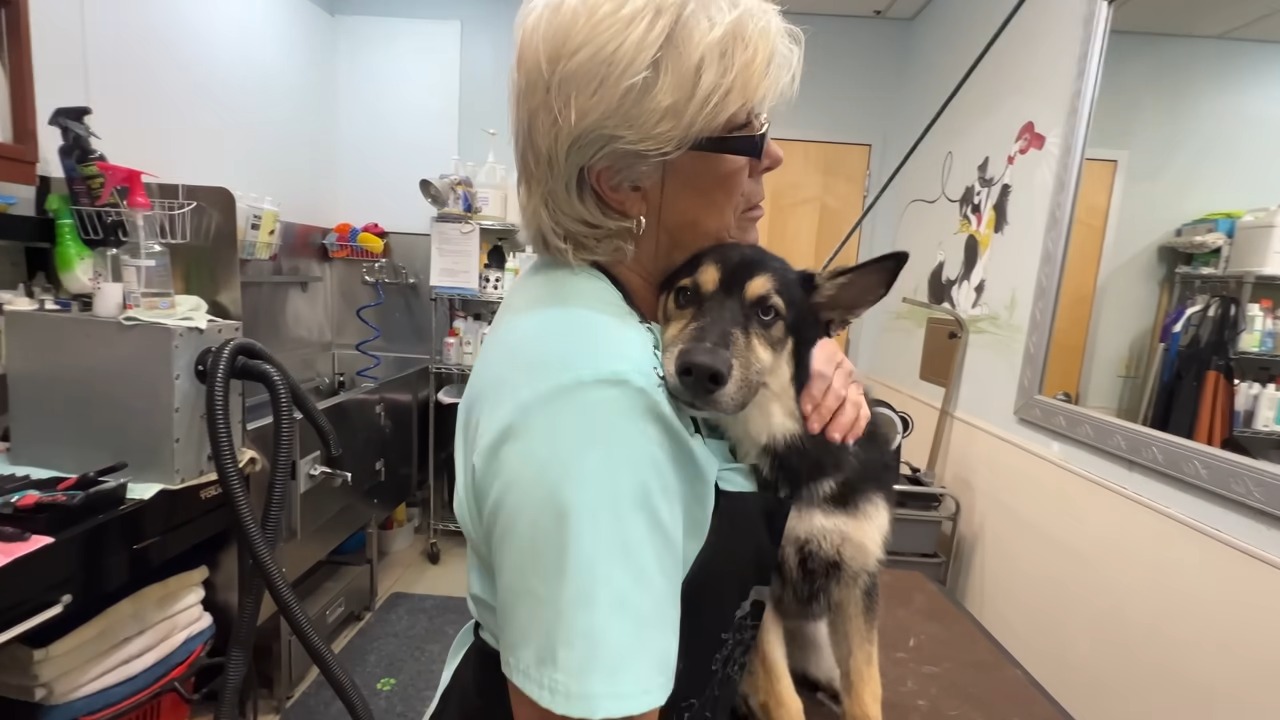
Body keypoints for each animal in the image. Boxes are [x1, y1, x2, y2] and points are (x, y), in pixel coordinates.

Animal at [660, 242, 911, 717]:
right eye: (684, 296)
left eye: (767, 312)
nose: (698, 370)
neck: (794, 450)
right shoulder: (762, 594)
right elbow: (783, 698)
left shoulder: (856, 582)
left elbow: (866, 689)